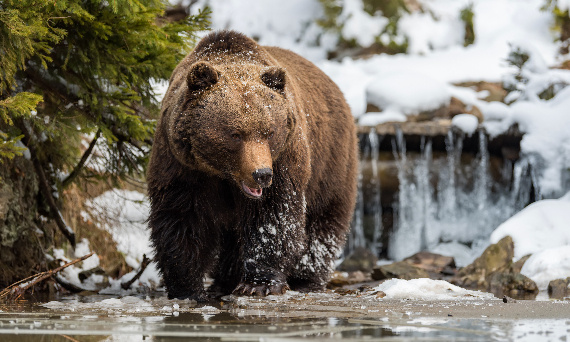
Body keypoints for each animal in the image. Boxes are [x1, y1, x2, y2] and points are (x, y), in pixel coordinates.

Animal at [149, 30, 358, 300]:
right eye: (235, 134)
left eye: (269, 132)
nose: (261, 174)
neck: (223, 175)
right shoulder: (182, 164)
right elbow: (182, 217)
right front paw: (187, 287)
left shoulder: (284, 160)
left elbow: (272, 217)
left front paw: (259, 283)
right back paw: (225, 280)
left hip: (331, 161)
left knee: (323, 220)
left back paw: (306, 279)